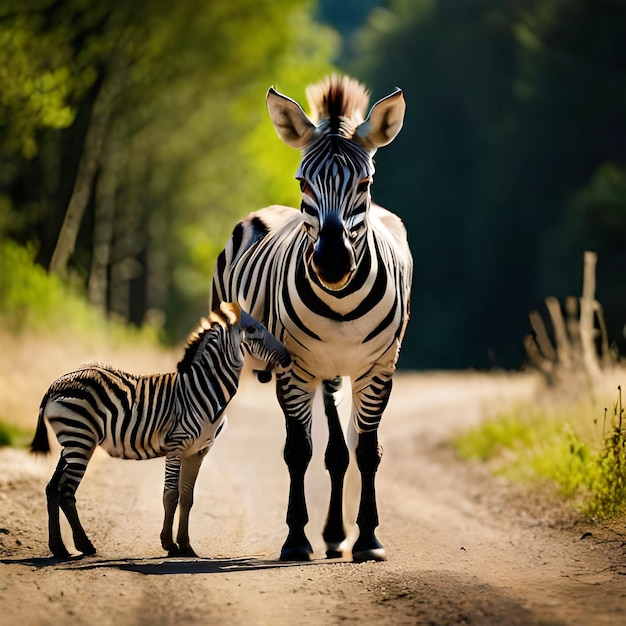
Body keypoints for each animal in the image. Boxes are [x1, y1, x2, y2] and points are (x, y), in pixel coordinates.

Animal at [31, 300, 290, 560]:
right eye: (253, 329)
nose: (288, 358)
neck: (204, 388)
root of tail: (56, 383)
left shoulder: (198, 451)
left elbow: (187, 497)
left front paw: (185, 545)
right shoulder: (176, 445)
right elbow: (170, 495)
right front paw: (169, 544)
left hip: (73, 443)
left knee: (53, 488)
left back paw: (59, 548)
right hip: (80, 440)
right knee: (66, 491)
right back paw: (83, 545)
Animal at [212, 74, 412, 560]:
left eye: (365, 182)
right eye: (303, 182)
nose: (333, 262)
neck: (341, 302)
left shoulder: (379, 369)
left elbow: (365, 452)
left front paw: (368, 538)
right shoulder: (295, 369)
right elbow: (297, 451)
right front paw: (296, 539)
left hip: (336, 373)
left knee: (340, 453)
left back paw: (338, 535)